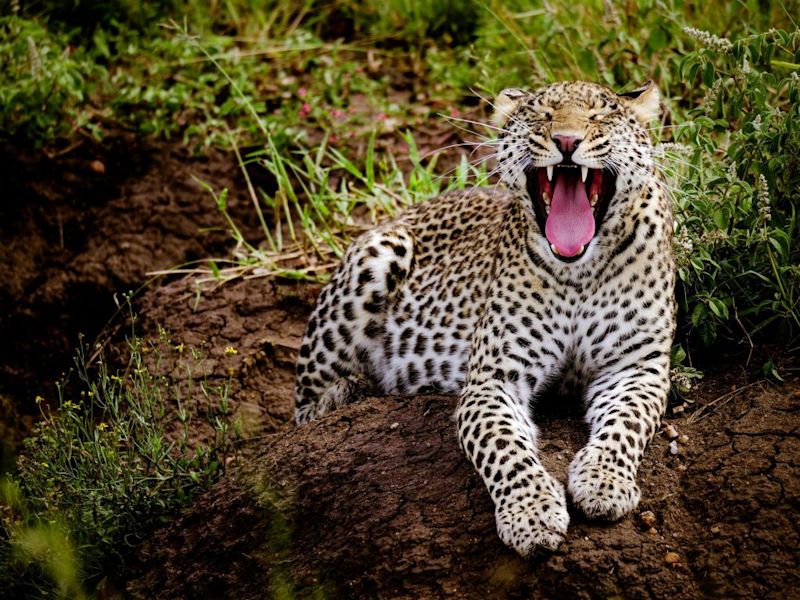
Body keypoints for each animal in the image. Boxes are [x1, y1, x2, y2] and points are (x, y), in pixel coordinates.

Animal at [294, 81, 676, 556]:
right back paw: (351, 392)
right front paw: (531, 514)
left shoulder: (636, 367)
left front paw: (603, 481)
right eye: (542, 114)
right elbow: (504, 447)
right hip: (377, 254)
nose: (567, 141)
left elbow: (626, 424)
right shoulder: (493, 379)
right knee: (304, 411)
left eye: (599, 116)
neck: (578, 272)